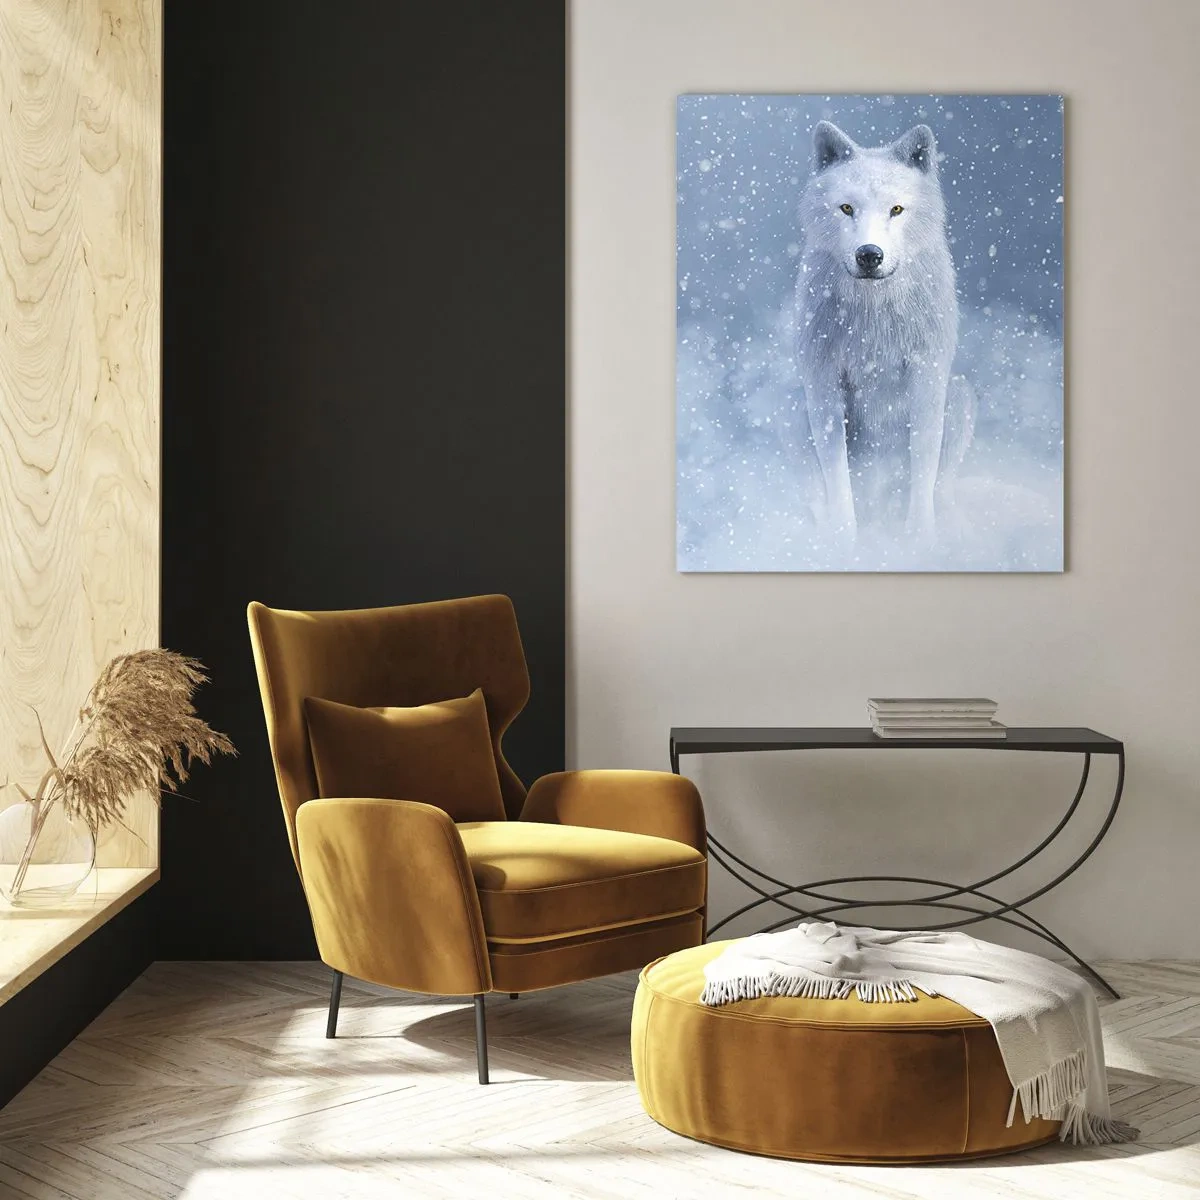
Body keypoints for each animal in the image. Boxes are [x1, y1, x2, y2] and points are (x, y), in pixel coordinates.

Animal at [794, 121, 975, 546]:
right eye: (847, 208)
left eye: (896, 209)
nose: (869, 254)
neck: (873, 315)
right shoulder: (823, 382)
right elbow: (837, 473)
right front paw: (844, 542)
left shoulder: (926, 376)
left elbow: (923, 461)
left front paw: (919, 540)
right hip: (796, 409)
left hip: (959, 395)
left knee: (941, 484)